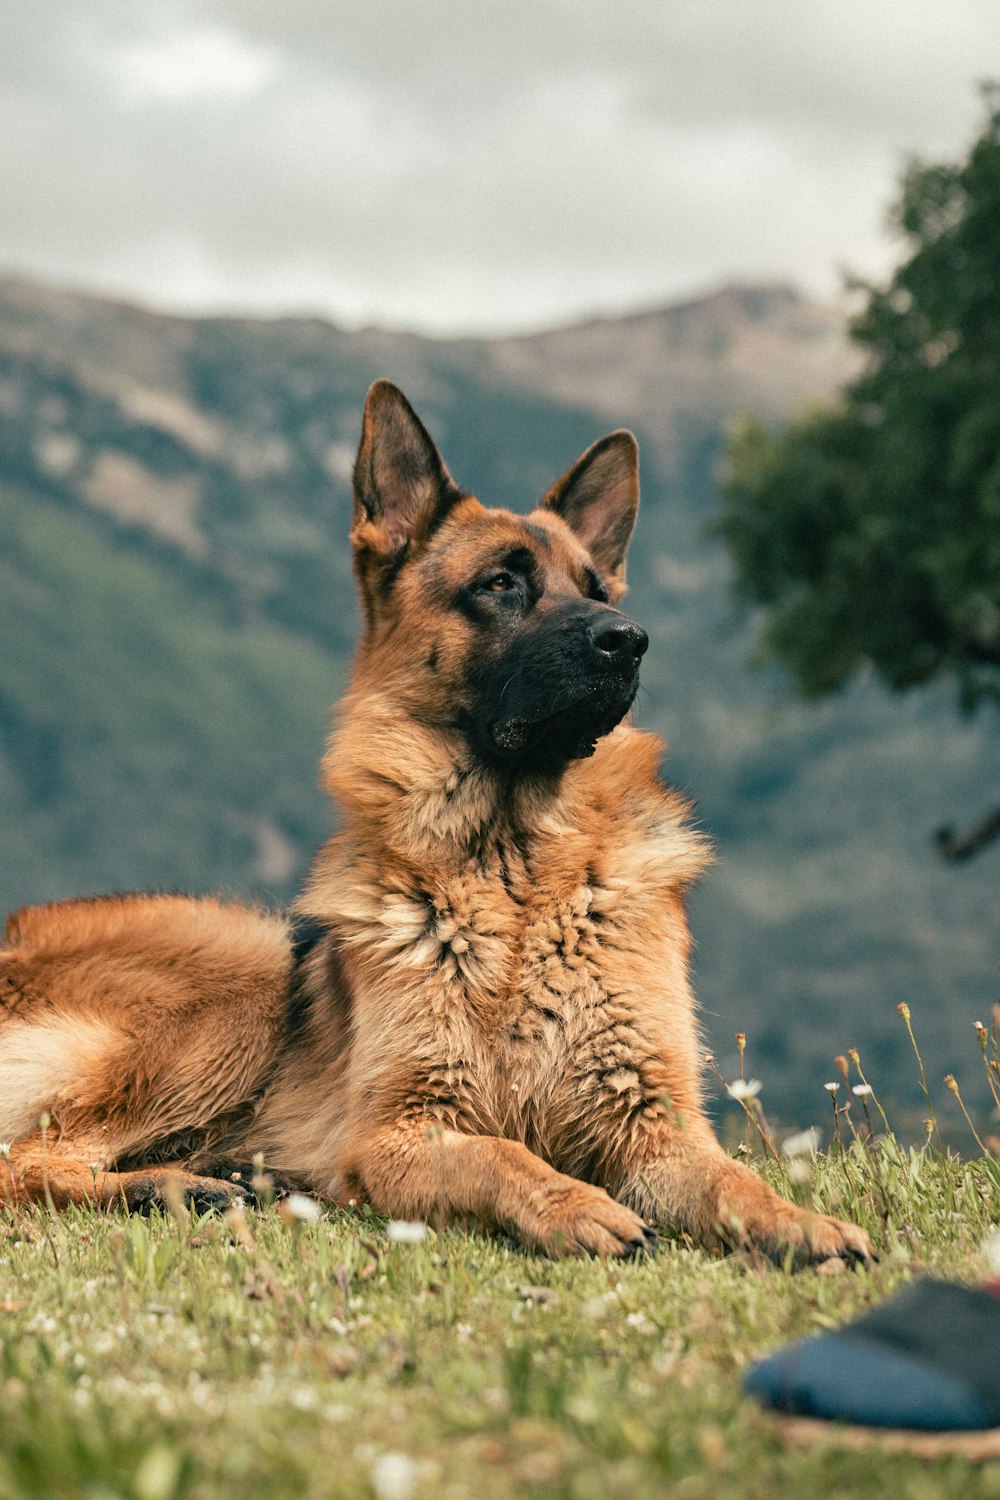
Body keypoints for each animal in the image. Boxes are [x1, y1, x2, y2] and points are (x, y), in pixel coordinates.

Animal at [0, 384, 869, 1266]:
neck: (517, 874)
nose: (628, 640)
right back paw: (176, 1188)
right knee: (28, 1159)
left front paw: (800, 1223)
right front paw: (573, 1205)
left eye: (596, 590)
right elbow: (502, 1154)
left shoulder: (651, 1124)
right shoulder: (400, 1132)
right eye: (500, 584)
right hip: (246, 971)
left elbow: (733, 1181)